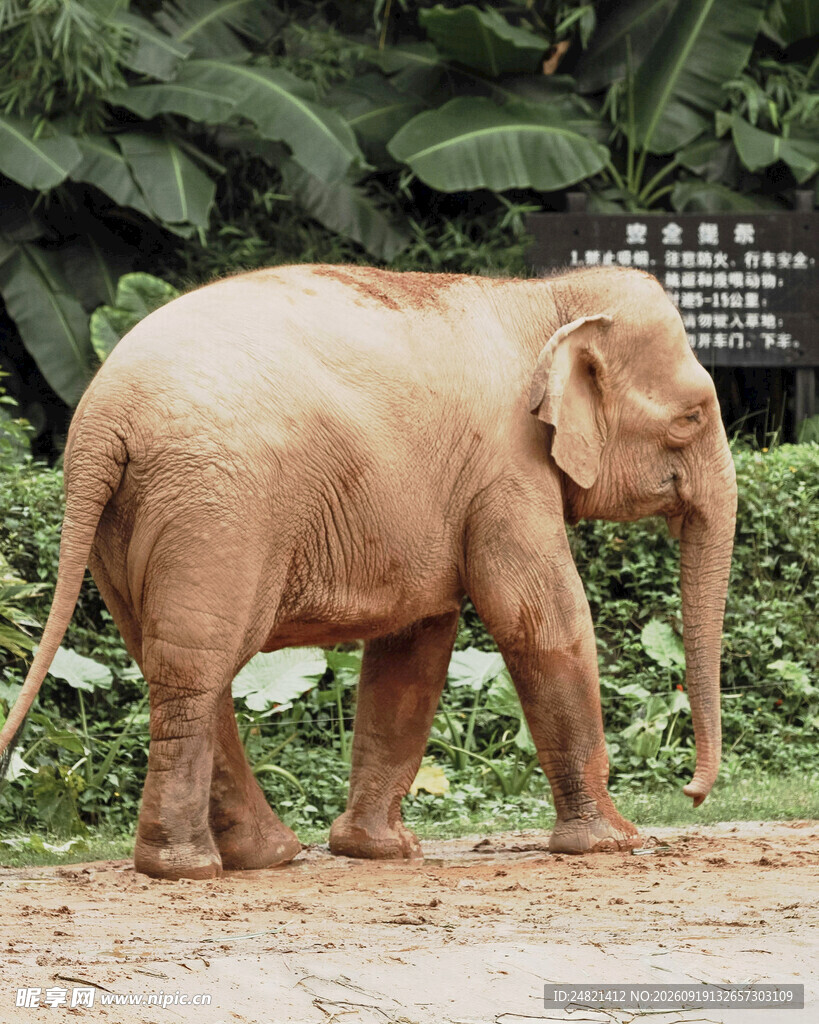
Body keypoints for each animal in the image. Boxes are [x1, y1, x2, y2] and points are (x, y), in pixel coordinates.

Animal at [0, 263, 737, 880]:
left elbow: (417, 644)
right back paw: (188, 868)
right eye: (690, 418)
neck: (544, 297)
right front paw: (614, 843)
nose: (692, 792)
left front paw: (379, 852)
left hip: (133, 526)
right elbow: (539, 620)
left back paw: (263, 857)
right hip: (214, 508)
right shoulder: (507, 471)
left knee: (180, 664)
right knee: (197, 667)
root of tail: (101, 421)